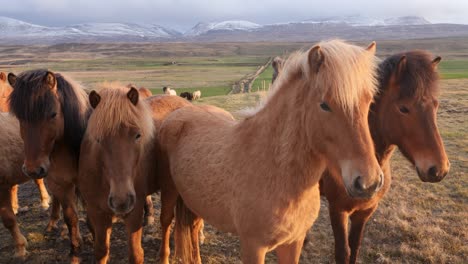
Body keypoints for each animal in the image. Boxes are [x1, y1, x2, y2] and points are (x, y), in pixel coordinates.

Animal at [8, 69, 90, 262]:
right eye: (19, 117)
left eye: (53, 114)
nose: (33, 169)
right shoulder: (61, 184)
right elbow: (71, 217)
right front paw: (75, 252)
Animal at [160, 39, 384, 264]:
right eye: (324, 105)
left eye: (369, 101)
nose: (369, 183)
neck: (274, 168)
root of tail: (180, 111)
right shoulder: (253, 247)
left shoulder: (293, 242)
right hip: (170, 192)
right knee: (165, 223)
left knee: (193, 228)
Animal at [318, 50, 450, 262]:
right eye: (403, 108)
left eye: (435, 105)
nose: (439, 169)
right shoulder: (337, 211)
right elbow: (342, 252)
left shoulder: (364, 212)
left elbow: (354, 247)